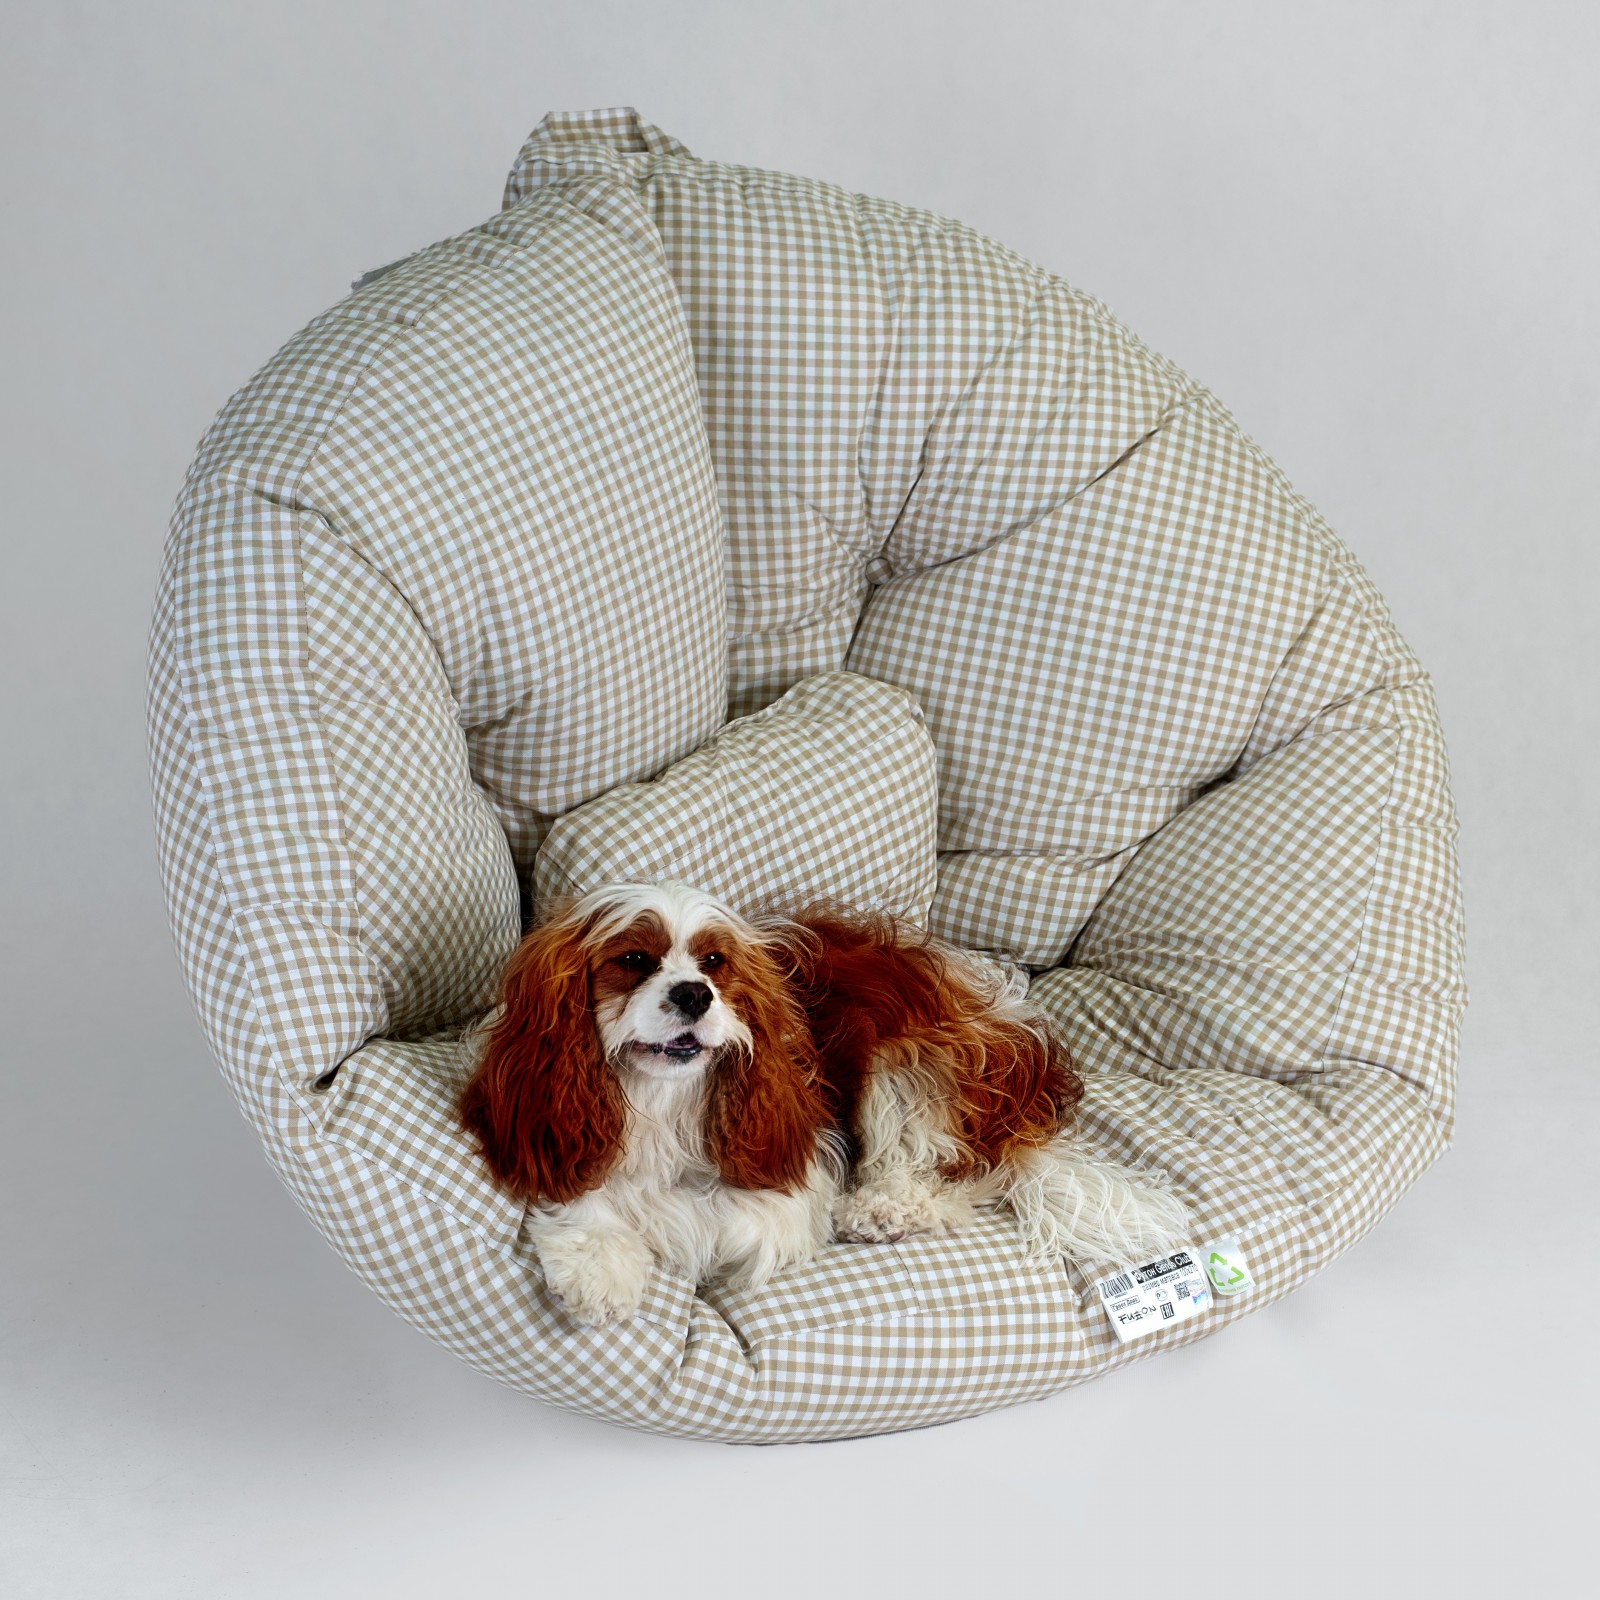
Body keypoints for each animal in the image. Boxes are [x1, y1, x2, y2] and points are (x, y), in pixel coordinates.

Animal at [460, 882, 1190, 1327]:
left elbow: (712, 1220)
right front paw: (601, 1264)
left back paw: (882, 1209)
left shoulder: (786, 1173)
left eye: (715, 963)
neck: (662, 1096)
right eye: (634, 959)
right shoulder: (546, 1119)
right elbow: (590, 1189)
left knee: (962, 1177)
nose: (695, 993)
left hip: (910, 1066)